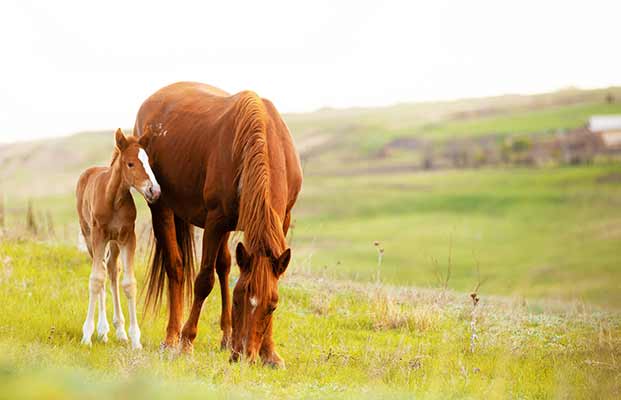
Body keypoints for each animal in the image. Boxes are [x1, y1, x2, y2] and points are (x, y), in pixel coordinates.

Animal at [75, 127, 160, 346]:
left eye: (149, 162)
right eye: (130, 163)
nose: (154, 191)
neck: (113, 198)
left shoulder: (128, 237)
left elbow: (129, 283)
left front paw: (135, 339)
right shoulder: (98, 236)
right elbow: (96, 279)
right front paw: (87, 335)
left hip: (113, 243)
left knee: (112, 270)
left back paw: (118, 330)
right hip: (89, 236)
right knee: (103, 272)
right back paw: (102, 330)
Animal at [134, 80, 302, 366]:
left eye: (272, 306)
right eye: (238, 301)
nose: (246, 356)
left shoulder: (281, 220)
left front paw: (270, 354)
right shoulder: (215, 222)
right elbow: (203, 281)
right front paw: (187, 343)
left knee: (223, 265)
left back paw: (226, 338)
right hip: (162, 207)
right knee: (176, 268)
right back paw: (172, 338)